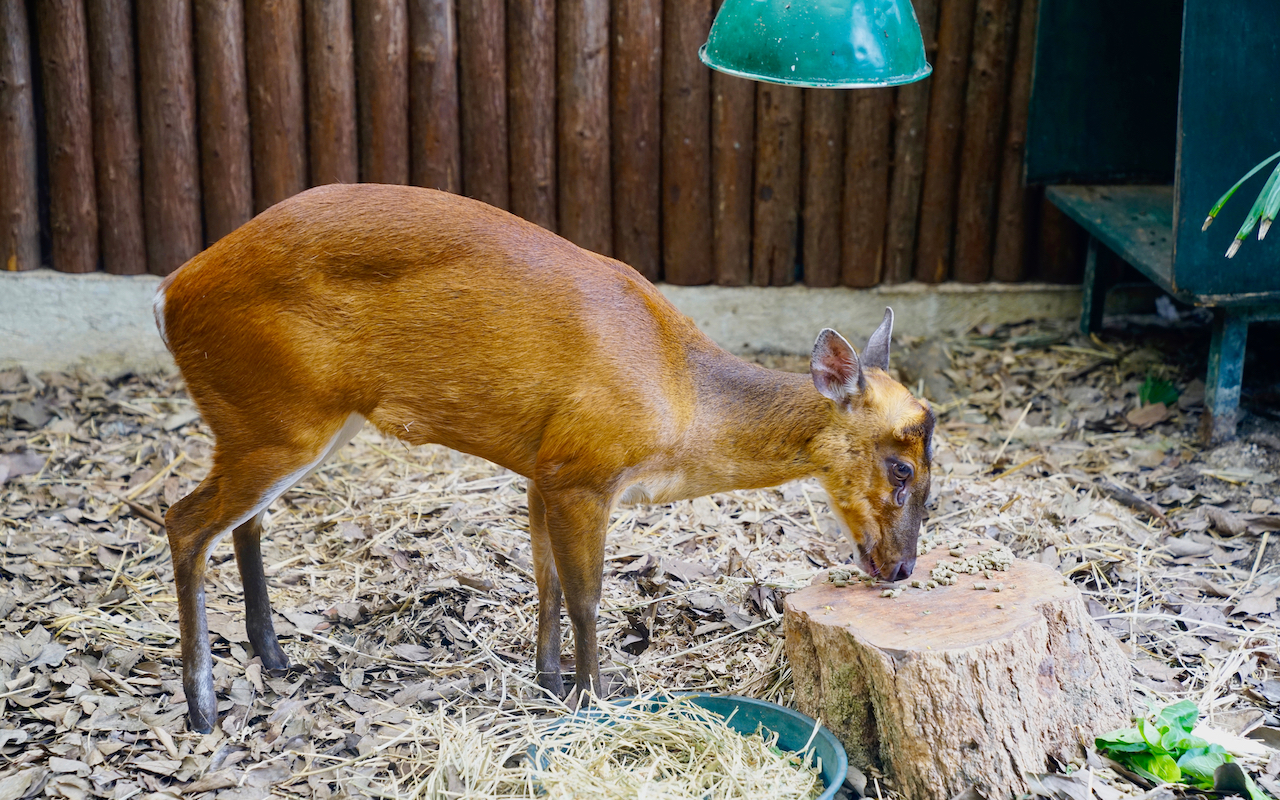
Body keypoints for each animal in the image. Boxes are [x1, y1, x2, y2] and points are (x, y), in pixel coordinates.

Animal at [157, 180, 942, 732]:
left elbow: (548, 584)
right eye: (903, 470)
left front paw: (549, 684)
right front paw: (594, 701)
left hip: (288, 424)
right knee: (183, 521)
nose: (902, 568)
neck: (683, 398)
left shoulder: (543, 470)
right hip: (278, 418)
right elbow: (589, 596)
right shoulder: (584, 470)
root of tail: (170, 294)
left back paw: (273, 655)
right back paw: (201, 708)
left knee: (245, 522)